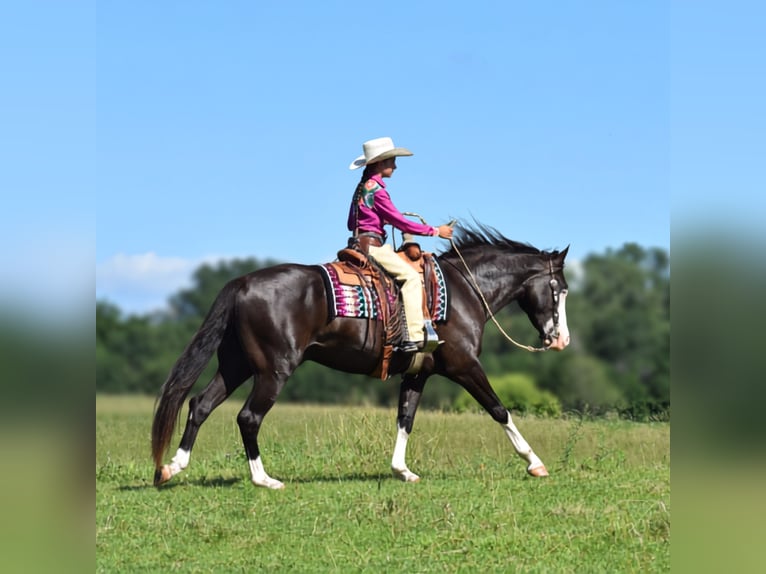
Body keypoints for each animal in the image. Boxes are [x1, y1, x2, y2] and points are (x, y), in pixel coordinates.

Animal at [151, 223, 570, 489]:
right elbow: (499, 409)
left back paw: (171, 468)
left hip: (236, 365)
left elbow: (405, 418)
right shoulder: (464, 366)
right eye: (560, 289)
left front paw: (402, 471)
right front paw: (534, 463)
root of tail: (242, 283)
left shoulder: (419, 372)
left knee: (200, 405)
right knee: (248, 417)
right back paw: (263, 479)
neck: (462, 289)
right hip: (273, 370)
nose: (561, 339)